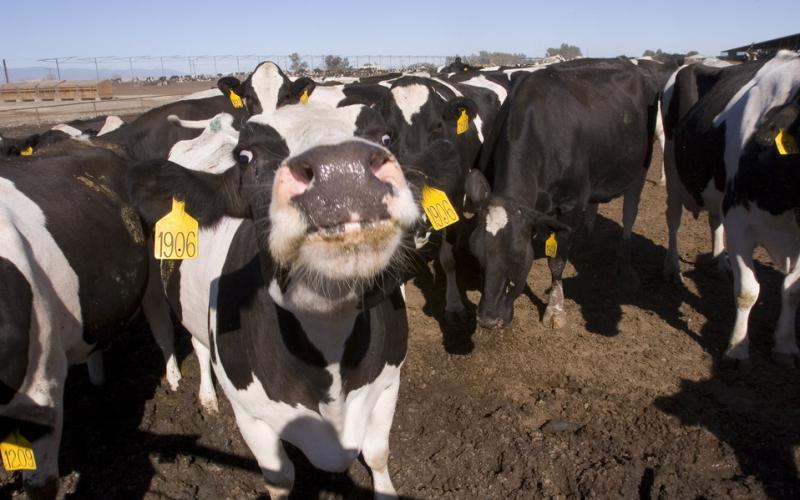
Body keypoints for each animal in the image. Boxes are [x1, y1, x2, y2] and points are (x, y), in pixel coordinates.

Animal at [127, 101, 420, 499]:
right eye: (247, 157)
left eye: (386, 137)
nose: (341, 169)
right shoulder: (251, 415)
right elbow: (280, 478)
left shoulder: (388, 382)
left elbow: (376, 454)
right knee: (187, 338)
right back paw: (204, 395)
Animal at [465, 58, 660, 329]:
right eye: (477, 252)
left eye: (518, 256)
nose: (488, 320)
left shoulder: (571, 205)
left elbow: (557, 260)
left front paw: (555, 309)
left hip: (641, 164)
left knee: (630, 212)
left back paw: (625, 265)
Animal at [673, 50, 800, 366]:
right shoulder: (740, 222)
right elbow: (747, 291)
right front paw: (737, 349)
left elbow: (792, 290)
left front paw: (785, 345)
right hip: (673, 171)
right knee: (673, 221)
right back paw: (672, 269)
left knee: (714, 221)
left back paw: (720, 262)